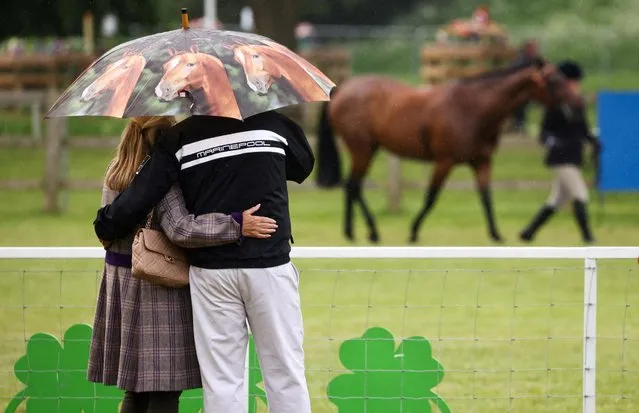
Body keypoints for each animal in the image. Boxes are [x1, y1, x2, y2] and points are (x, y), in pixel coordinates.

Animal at [318, 59, 576, 243]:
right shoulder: (445, 162)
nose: (576, 101)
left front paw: (496, 234)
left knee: (352, 187)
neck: (472, 109)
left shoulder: (482, 162)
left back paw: (351, 232)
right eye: (554, 80)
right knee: (354, 186)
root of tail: (341, 90)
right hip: (363, 150)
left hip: (366, 151)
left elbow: (486, 197)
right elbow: (431, 197)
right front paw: (413, 232)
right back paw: (371, 232)